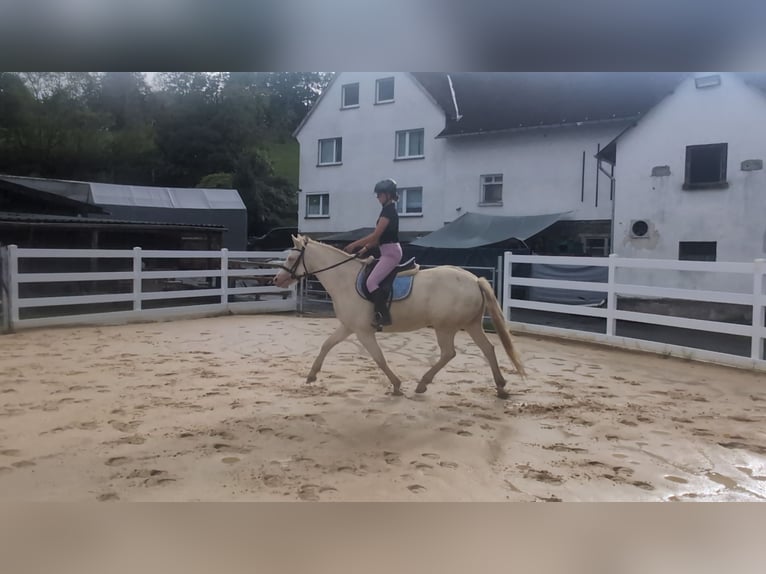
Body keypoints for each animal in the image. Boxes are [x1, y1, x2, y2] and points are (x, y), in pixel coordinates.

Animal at [273, 235, 526, 398]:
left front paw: (396, 385)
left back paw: (423, 384)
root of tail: (474, 279)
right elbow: (327, 345)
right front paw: (311, 375)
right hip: (471, 324)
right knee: (488, 349)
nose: (277, 279)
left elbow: (379, 358)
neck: (344, 278)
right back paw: (501, 386)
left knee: (449, 353)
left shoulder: (363, 332)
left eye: (290, 259)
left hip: (445, 327)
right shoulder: (348, 326)